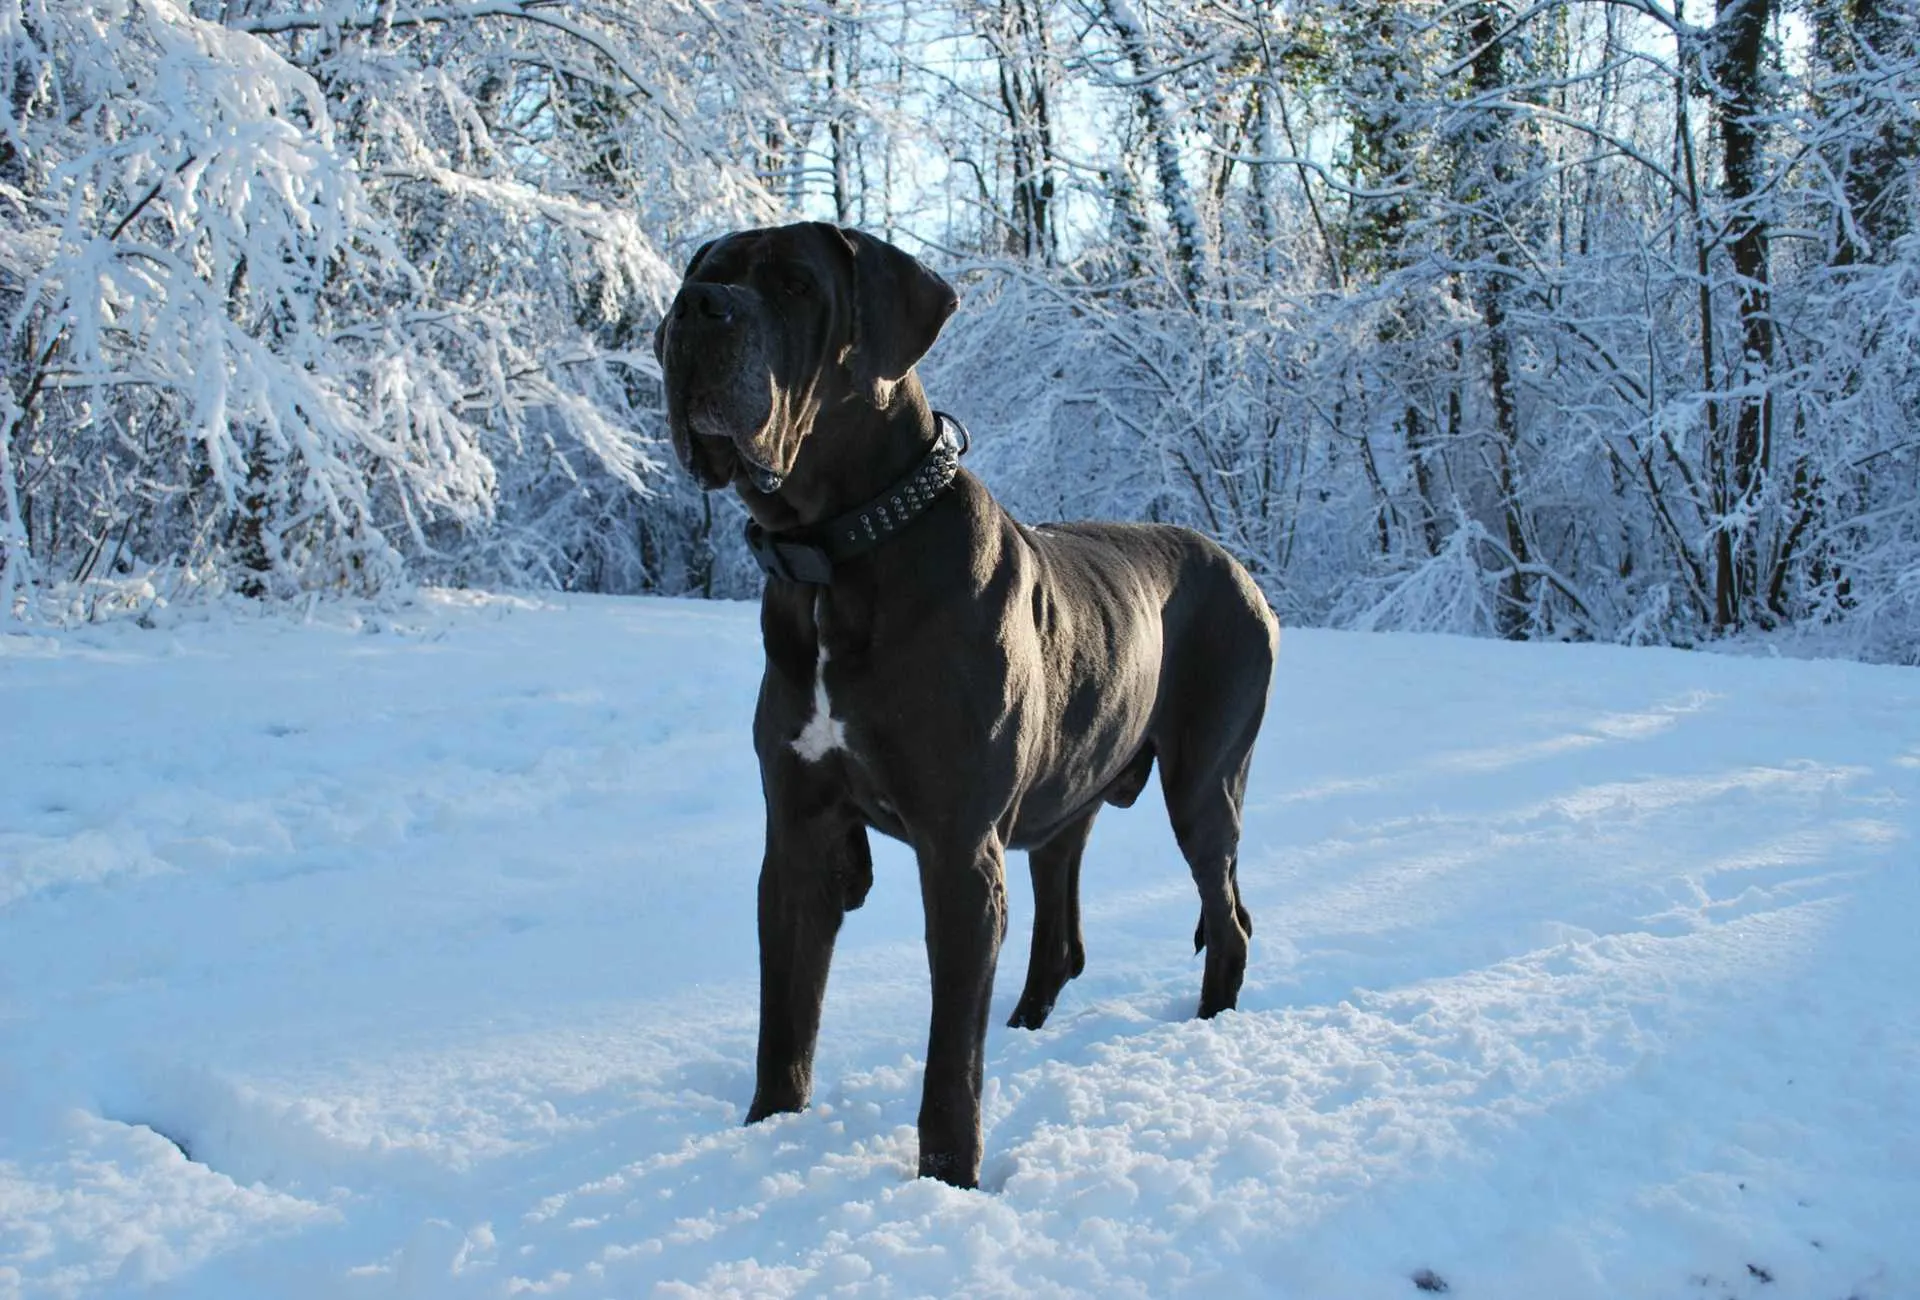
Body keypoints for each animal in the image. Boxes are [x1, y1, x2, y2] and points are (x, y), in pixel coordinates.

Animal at [656, 222, 1274, 1182]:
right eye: (705, 272)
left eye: (795, 285)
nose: (693, 309)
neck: (837, 556)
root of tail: (1241, 569)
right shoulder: (799, 835)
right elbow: (785, 1018)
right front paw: (767, 1136)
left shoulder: (957, 850)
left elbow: (951, 1047)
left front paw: (949, 1176)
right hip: (1068, 799)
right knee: (1063, 937)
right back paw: (1028, 1027)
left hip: (1206, 778)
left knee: (1228, 912)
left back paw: (1208, 1029)